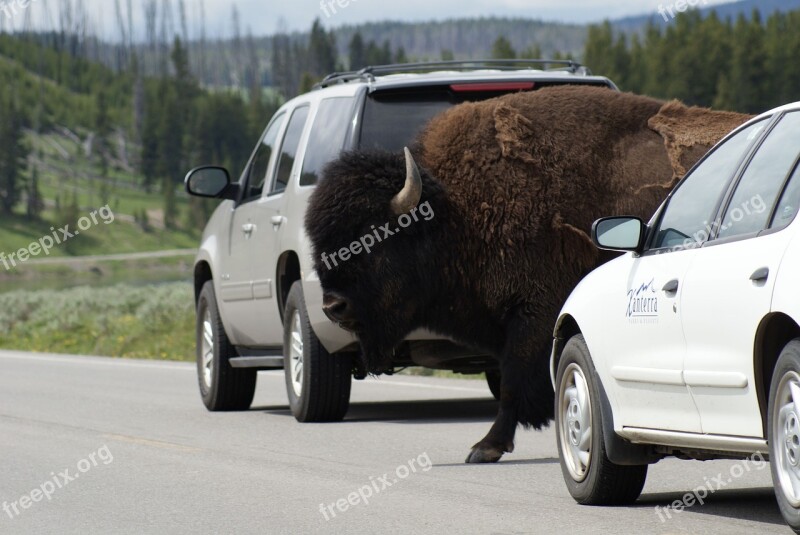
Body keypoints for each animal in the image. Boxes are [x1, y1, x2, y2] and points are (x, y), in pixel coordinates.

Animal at [304, 86, 752, 462]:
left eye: (372, 237)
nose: (333, 306)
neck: (453, 211)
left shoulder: (534, 316)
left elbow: (511, 384)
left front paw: (485, 447)